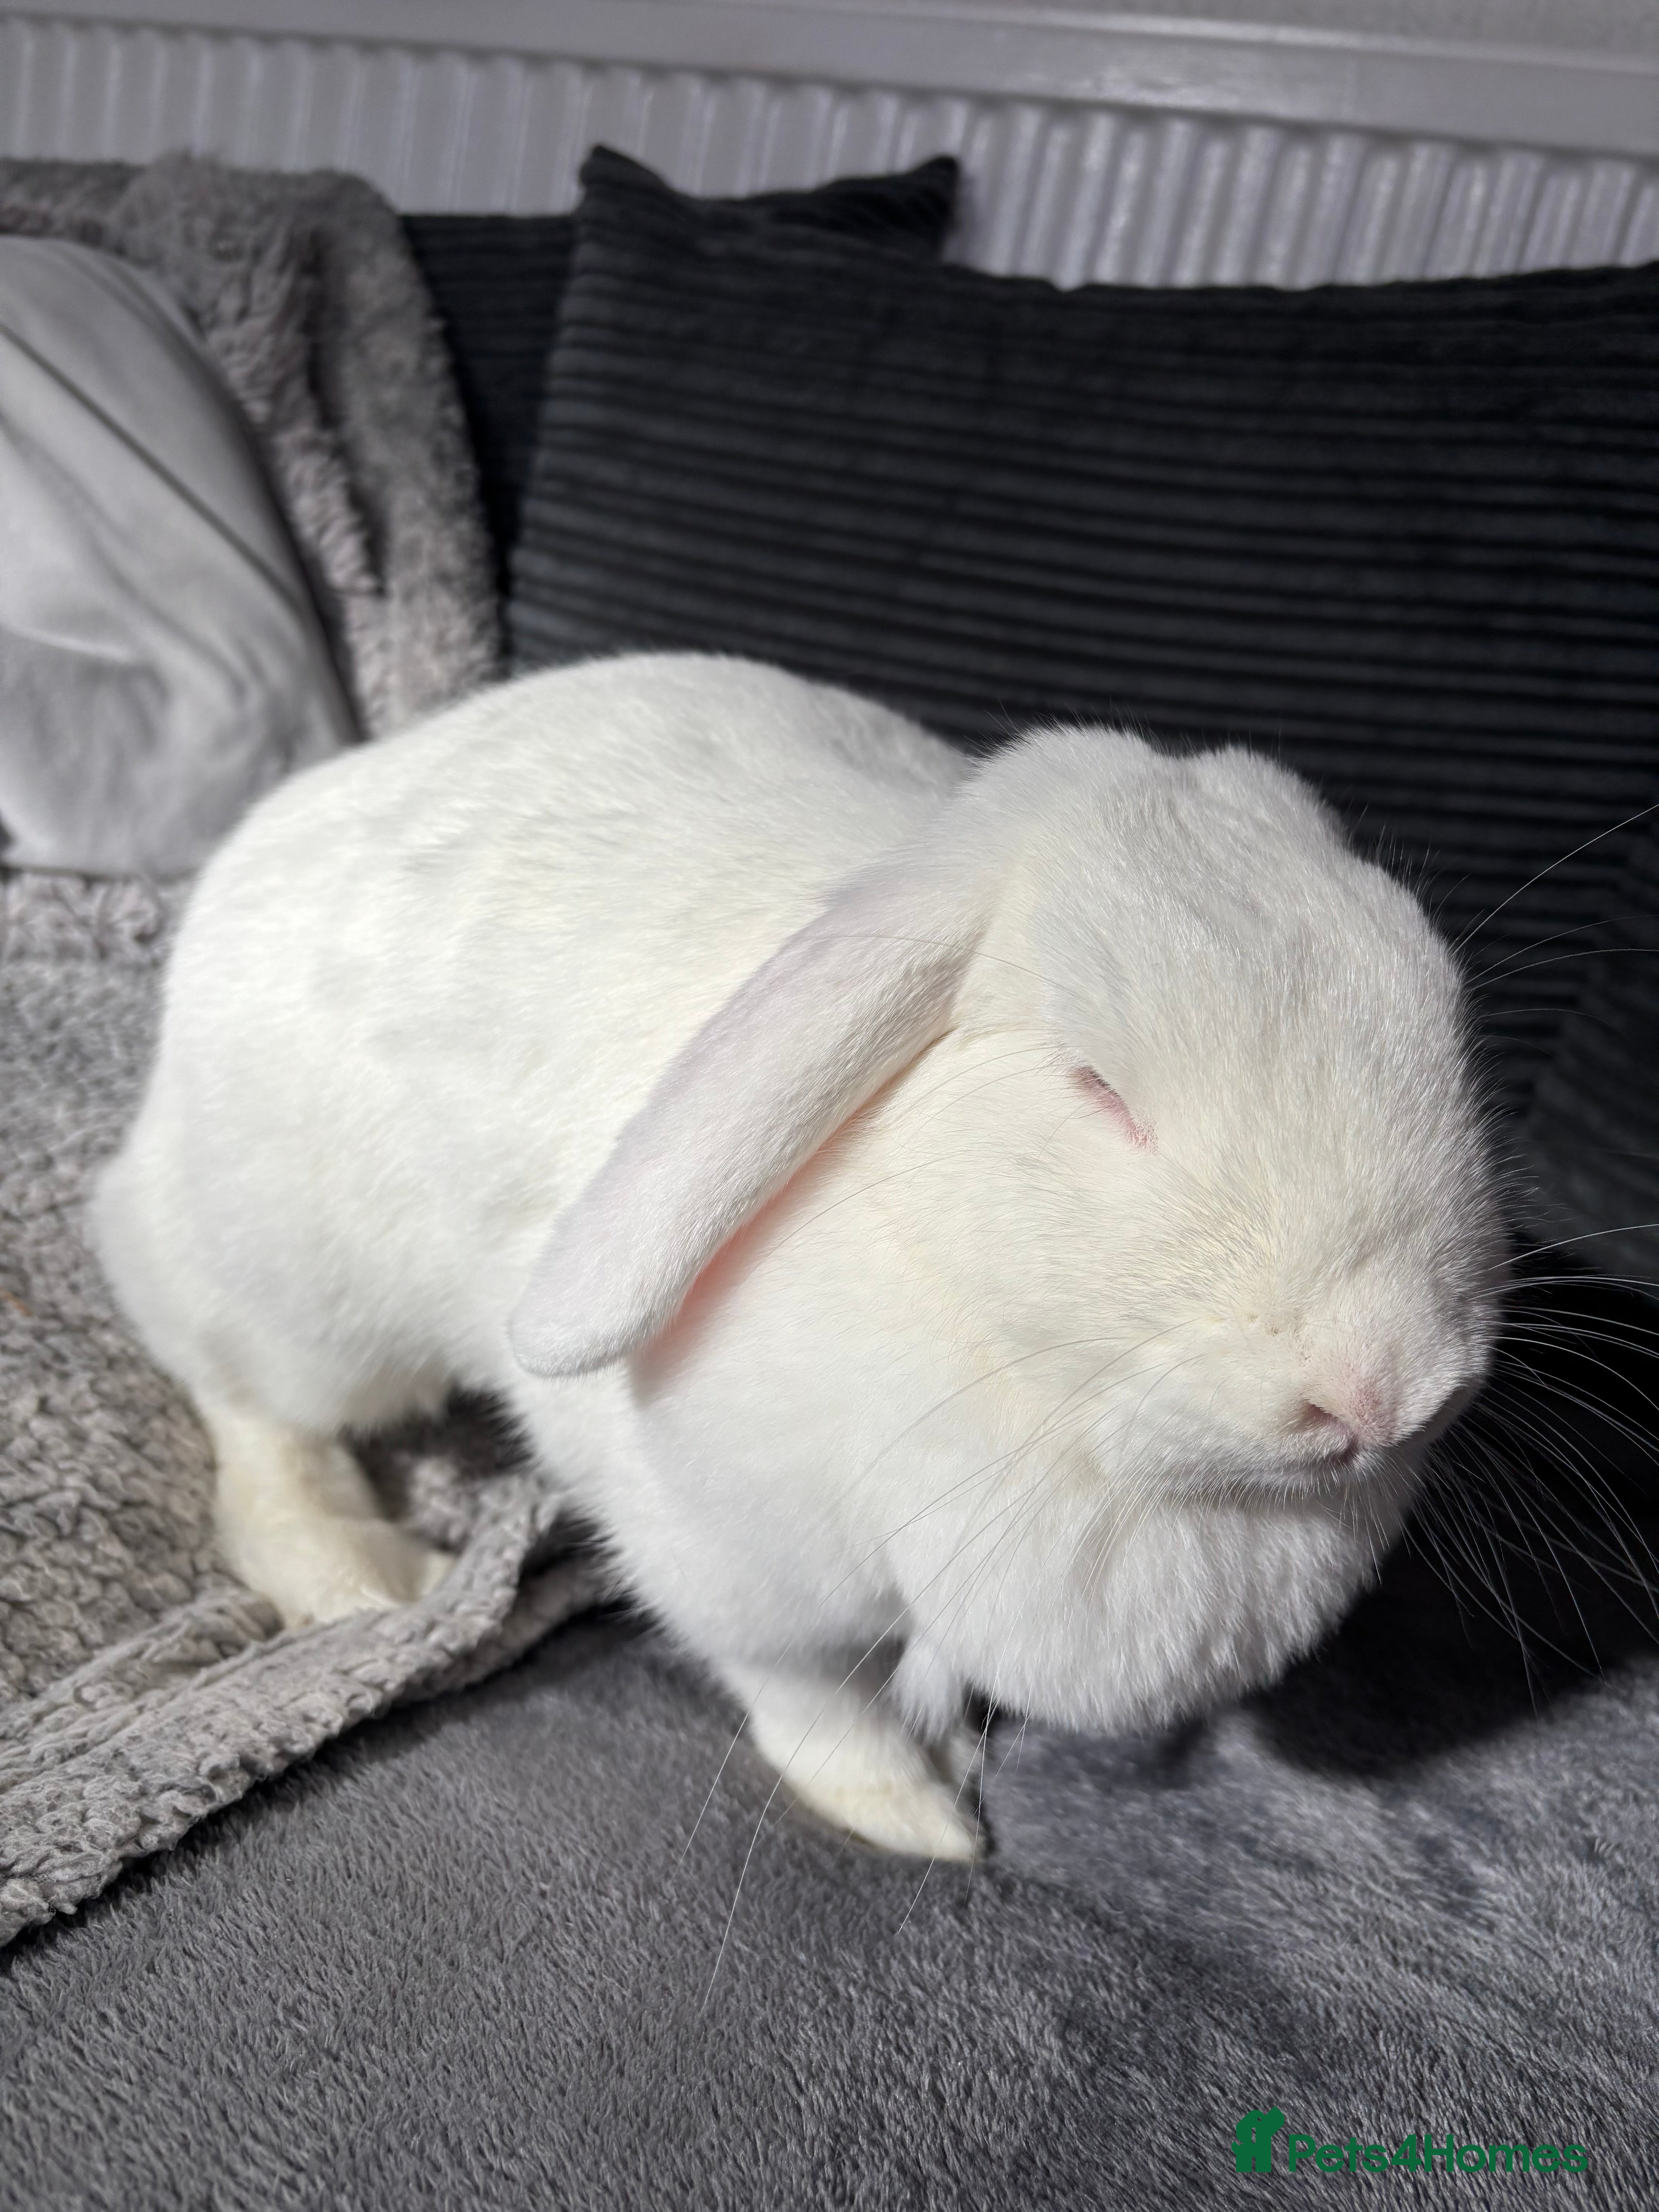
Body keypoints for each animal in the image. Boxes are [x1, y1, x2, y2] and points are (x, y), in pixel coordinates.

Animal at [92, 651, 1504, 1862]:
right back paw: (361, 1577)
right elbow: (810, 1692)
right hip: (299, 1294)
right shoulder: (730, 1568)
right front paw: (910, 1813)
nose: (1387, 1386)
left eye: (1444, 1024)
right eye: (1097, 1089)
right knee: (244, 1405)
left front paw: (948, 1747)